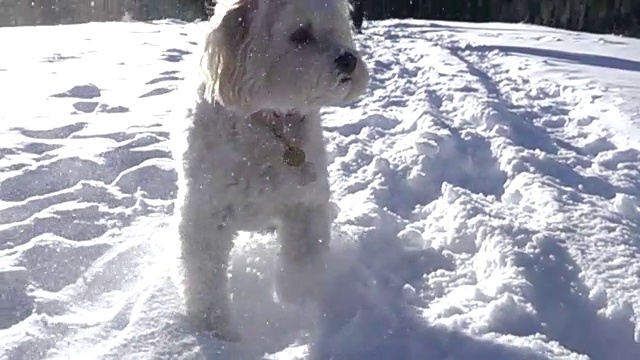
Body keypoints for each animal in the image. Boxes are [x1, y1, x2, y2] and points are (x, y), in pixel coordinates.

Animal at [172, 0, 370, 340]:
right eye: (300, 35)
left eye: (336, 28)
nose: (348, 60)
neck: (269, 125)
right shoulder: (206, 212)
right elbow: (204, 274)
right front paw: (214, 328)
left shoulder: (305, 203)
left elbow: (303, 261)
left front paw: (299, 302)